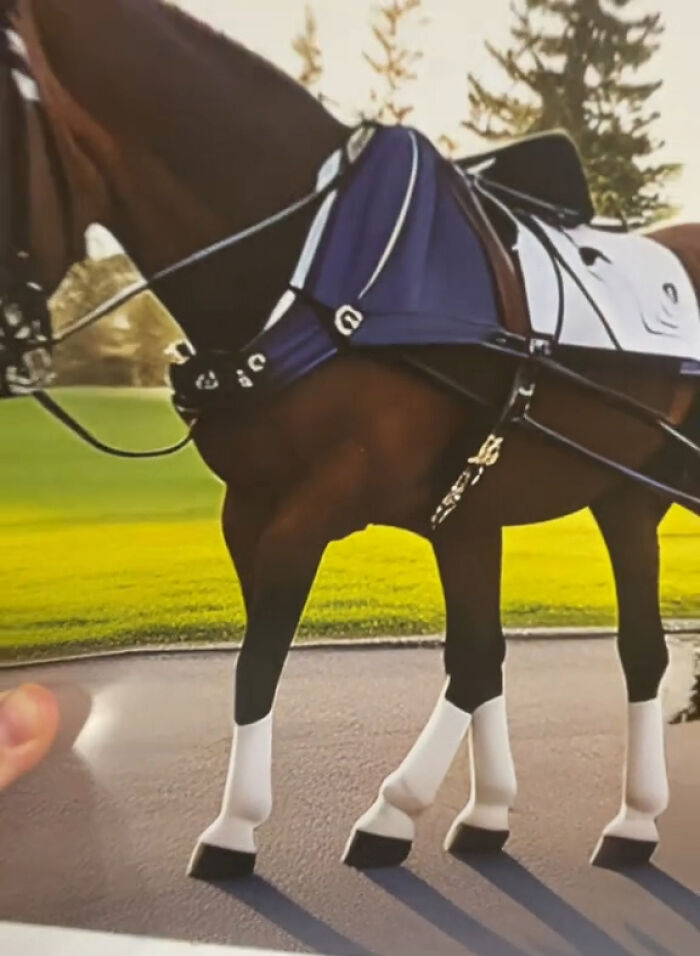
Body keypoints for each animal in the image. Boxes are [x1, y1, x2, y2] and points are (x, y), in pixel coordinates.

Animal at [2, 0, 698, 881]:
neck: (318, 262)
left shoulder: (326, 500)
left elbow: (264, 660)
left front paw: (243, 826)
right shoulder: (300, 508)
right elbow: (475, 656)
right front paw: (470, 810)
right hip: (625, 495)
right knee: (617, 650)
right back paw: (618, 820)